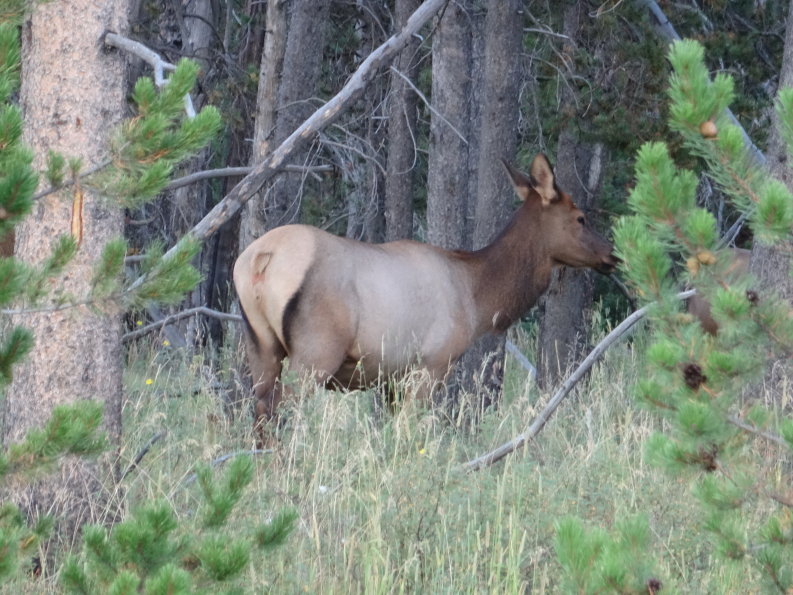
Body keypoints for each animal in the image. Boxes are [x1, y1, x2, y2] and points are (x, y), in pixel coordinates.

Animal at [235, 154, 620, 442]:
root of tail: (260, 259)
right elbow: (410, 433)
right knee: (283, 411)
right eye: (580, 218)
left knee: (261, 413)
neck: (477, 297)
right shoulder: (431, 365)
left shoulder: (390, 377)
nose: (612, 254)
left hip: (261, 346)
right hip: (316, 351)